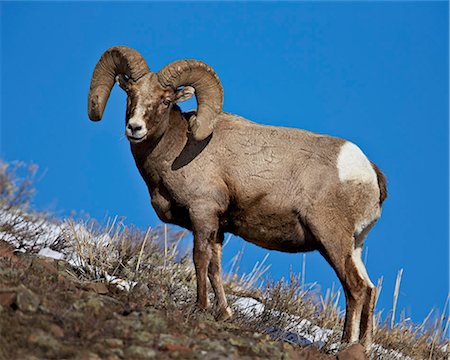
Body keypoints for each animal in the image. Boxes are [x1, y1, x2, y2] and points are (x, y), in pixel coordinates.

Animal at [87, 46, 386, 350]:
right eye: (130, 93)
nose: (135, 128)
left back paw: (345, 345)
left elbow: (200, 260)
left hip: (332, 239)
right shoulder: (218, 229)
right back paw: (363, 346)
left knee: (355, 288)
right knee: (370, 289)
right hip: (354, 246)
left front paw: (200, 308)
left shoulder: (203, 213)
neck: (176, 148)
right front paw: (223, 313)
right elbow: (215, 268)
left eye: (165, 100)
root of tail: (368, 173)